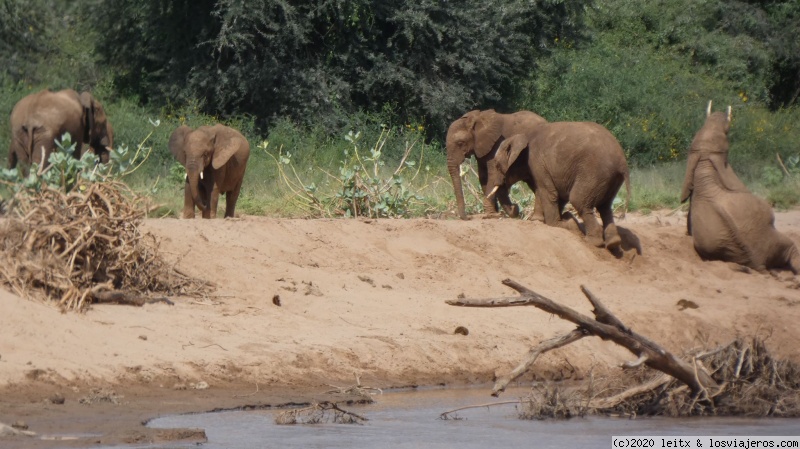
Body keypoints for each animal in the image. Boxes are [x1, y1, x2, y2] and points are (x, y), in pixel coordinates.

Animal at [488, 121, 632, 250]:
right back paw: (613, 242)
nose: (516, 208)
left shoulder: (536, 161)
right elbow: (543, 191)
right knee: (605, 207)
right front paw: (538, 220)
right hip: (609, 179)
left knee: (579, 200)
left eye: (497, 165)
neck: (521, 136)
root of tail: (622, 162)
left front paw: (560, 223)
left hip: (594, 173)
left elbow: (548, 192)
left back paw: (591, 242)